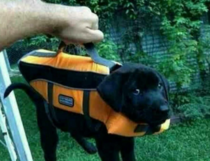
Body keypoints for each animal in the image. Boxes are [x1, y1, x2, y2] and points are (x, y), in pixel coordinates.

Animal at [4, 63, 170, 161]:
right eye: (136, 91)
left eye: (159, 86)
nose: (165, 110)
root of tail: (37, 94)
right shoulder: (107, 146)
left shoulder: (127, 142)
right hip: (48, 127)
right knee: (50, 150)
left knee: (73, 130)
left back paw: (88, 147)